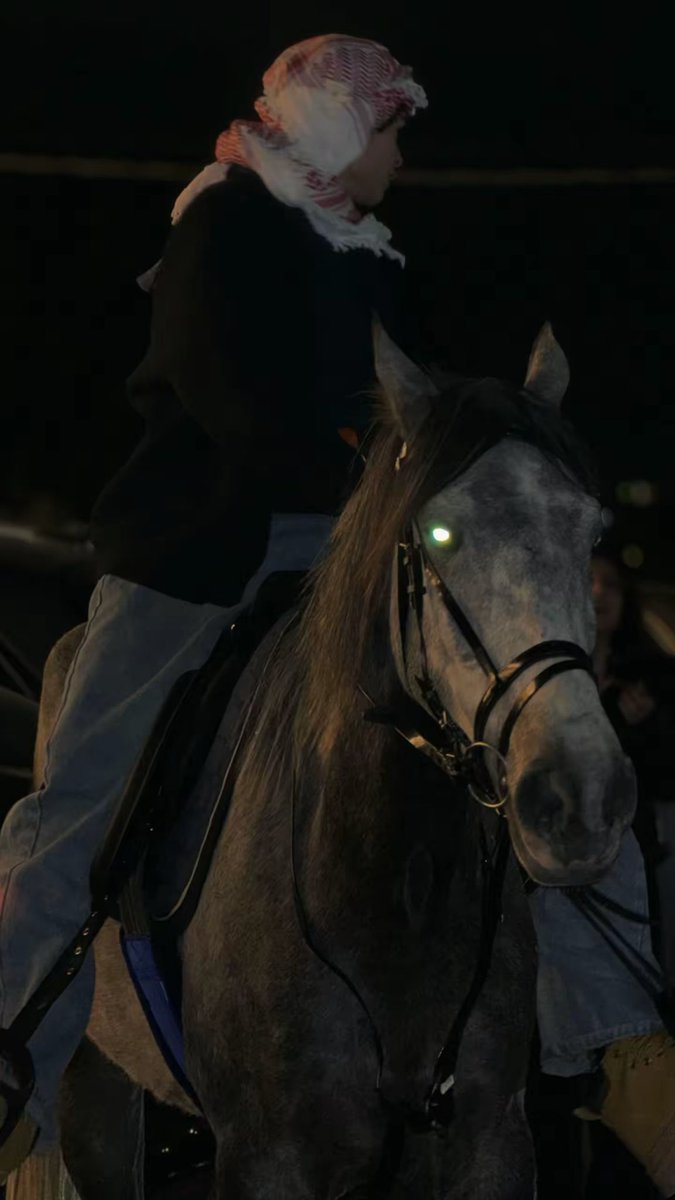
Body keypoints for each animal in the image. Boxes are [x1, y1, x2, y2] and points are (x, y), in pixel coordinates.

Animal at [9, 324, 636, 1200]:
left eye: (590, 533)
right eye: (439, 536)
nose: (581, 800)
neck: (386, 887)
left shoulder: (489, 1142)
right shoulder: (266, 1157)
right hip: (93, 1094)